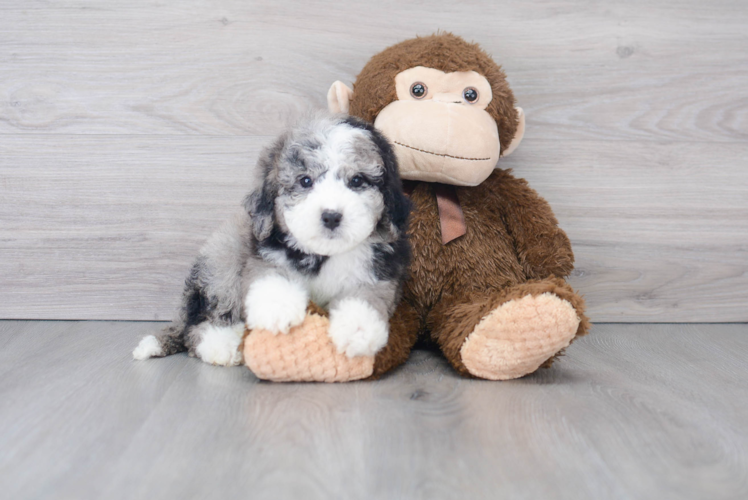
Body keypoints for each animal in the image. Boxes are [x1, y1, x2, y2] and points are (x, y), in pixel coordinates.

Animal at [132, 116, 412, 368]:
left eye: (357, 180)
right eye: (305, 181)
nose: (331, 216)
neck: (323, 255)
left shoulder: (379, 273)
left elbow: (366, 297)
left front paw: (358, 330)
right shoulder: (263, 254)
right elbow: (271, 277)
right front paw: (278, 310)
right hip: (222, 256)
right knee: (202, 323)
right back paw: (223, 345)